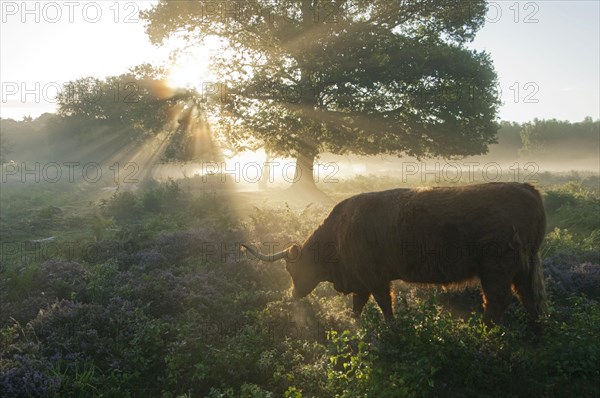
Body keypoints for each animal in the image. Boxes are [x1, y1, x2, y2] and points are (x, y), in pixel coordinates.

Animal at [244, 182, 548, 324]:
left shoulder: (374, 278)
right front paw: (354, 327)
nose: (293, 294)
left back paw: (484, 334)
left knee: (497, 301)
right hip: (524, 267)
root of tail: (526, 188)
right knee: (530, 299)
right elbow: (357, 306)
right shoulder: (361, 281)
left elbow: (384, 305)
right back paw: (536, 336)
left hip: (496, 268)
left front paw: (391, 330)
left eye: (290, 269)